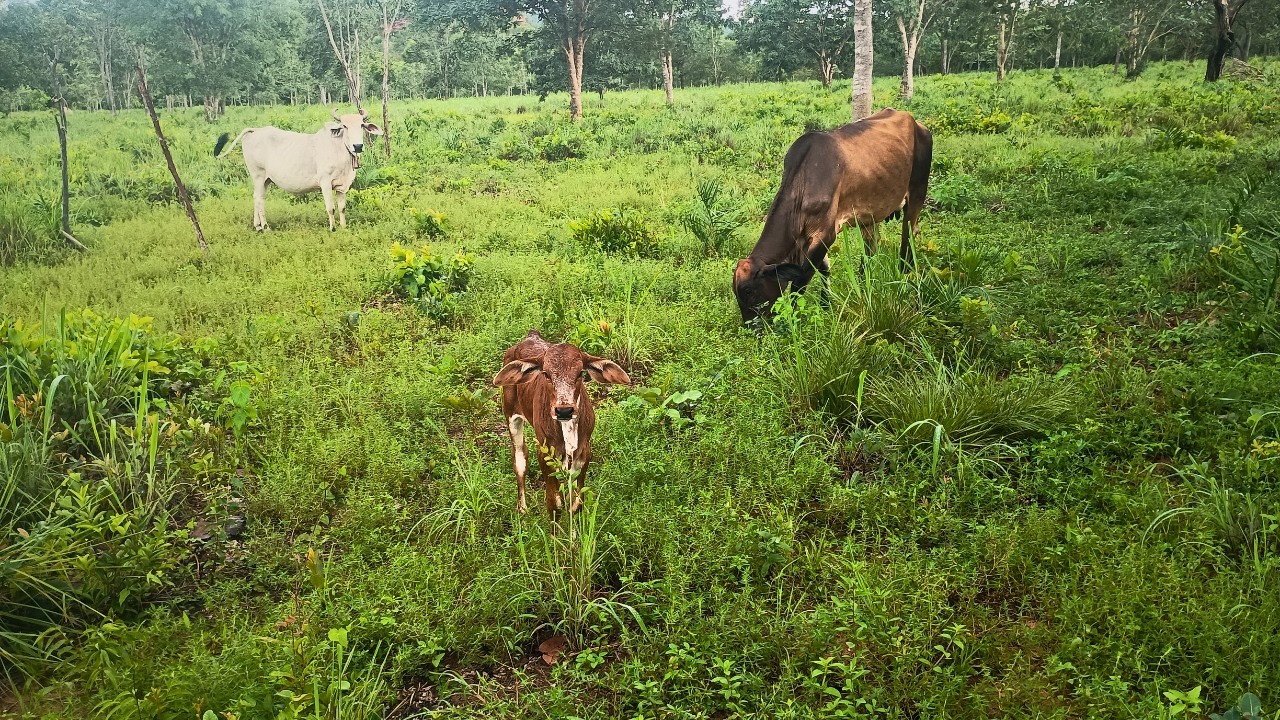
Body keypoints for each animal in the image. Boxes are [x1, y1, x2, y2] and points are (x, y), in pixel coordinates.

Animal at [213, 108, 383, 232]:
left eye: (361, 125)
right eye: (345, 126)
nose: (358, 146)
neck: (339, 149)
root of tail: (255, 130)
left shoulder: (342, 186)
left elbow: (342, 208)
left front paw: (343, 227)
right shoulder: (325, 182)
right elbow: (331, 208)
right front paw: (333, 228)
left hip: (266, 179)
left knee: (256, 198)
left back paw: (257, 226)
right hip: (258, 175)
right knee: (259, 199)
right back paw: (266, 228)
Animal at [492, 330, 631, 518]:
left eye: (580, 373)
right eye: (545, 374)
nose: (564, 411)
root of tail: (531, 335)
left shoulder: (584, 452)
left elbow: (576, 502)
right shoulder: (545, 452)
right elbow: (554, 503)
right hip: (511, 416)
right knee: (520, 458)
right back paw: (522, 509)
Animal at [732, 108, 933, 323]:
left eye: (748, 290)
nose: (750, 326)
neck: (803, 179)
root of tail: (917, 124)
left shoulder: (825, 234)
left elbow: (800, 282)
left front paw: (795, 319)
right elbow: (824, 269)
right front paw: (825, 305)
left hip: (917, 195)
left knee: (907, 240)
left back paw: (905, 279)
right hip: (870, 214)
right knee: (870, 249)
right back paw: (864, 285)